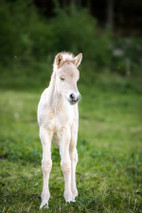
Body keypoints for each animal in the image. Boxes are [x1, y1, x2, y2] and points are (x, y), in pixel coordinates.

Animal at [37, 51, 82, 208]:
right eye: (62, 78)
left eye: (77, 78)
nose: (74, 97)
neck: (55, 106)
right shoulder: (45, 131)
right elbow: (46, 164)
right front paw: (44, 201)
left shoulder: (64, 131)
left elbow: (66, 164)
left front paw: (68, 198)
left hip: (73, 134)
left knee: (72, 156)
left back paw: (74, 192)